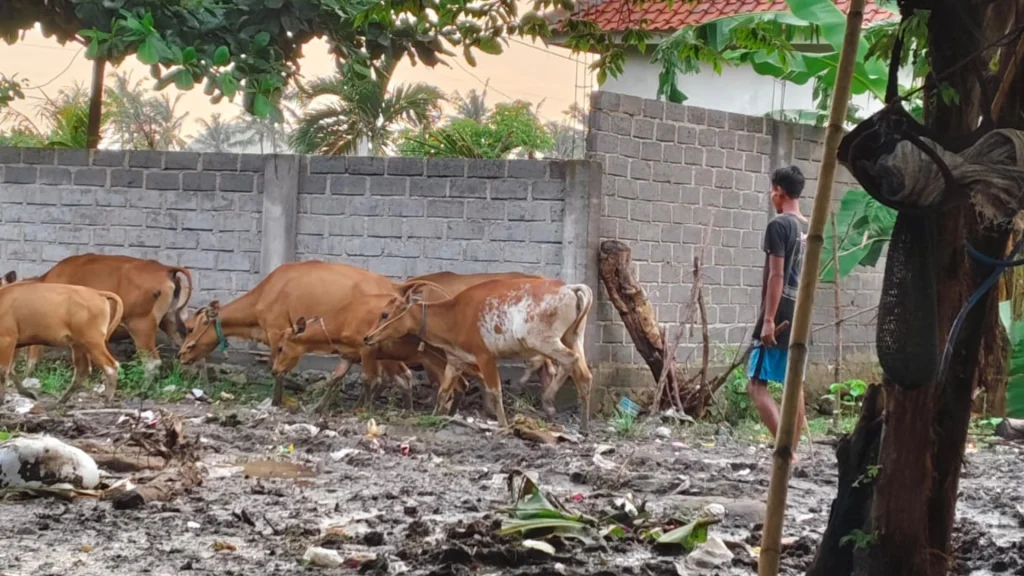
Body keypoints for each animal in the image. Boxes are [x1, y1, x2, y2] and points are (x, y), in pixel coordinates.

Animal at [178, 259, 397, 403]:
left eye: (190, 328)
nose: (180, 354)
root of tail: (394, 286)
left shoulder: (276, 332)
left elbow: (275, 367)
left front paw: (276, 401)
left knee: (381, 377)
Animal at [364, 276, 598, 430]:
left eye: (385, 314)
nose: (367, 337)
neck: (453, 316)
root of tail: (571, 288)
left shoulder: (485, 355)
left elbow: (495, 391)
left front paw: (503, 424)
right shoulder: (455, 360)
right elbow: (443, 392)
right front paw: (434, 417)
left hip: (544, 340)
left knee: (569, 360)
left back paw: (548, 402)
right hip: (573, 336)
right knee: (584, 375)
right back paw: (584, 427)